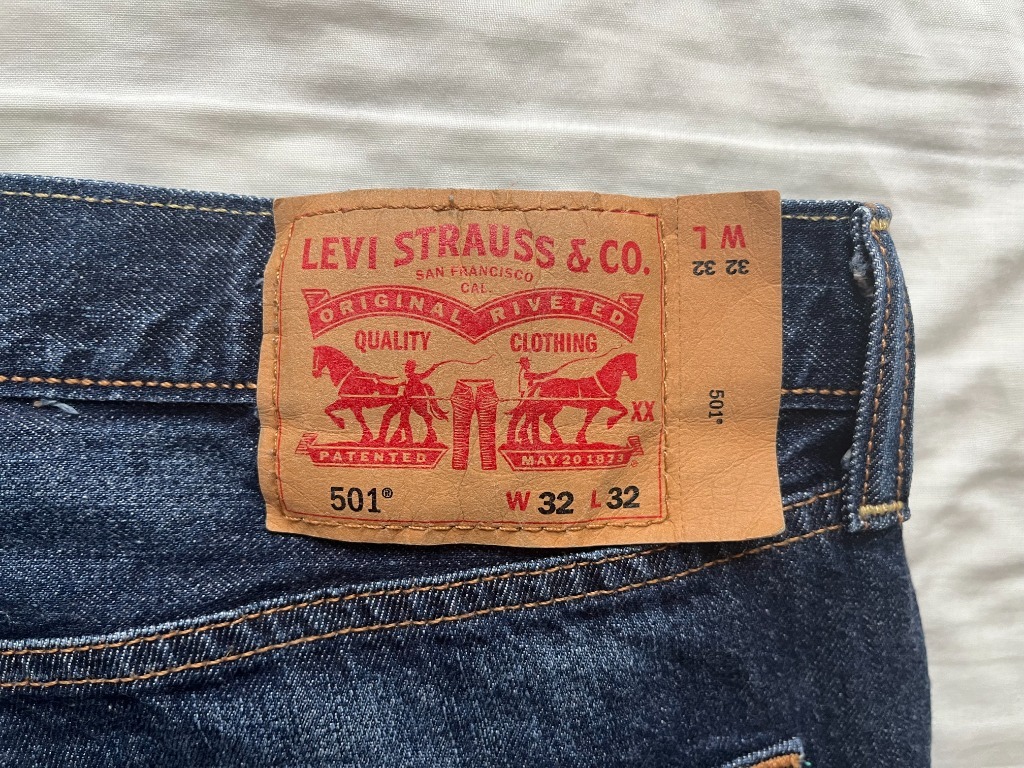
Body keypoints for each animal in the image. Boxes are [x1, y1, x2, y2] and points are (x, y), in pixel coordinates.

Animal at [505, 352, 638, 446]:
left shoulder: (603, 403)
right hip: (552, 405)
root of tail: (541, 384)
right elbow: (589, 420)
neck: (603, 381)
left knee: (539, 416)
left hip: (552, 406)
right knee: (535, 415)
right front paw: (608, 424)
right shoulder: (595, 406)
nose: (635, 377)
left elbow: (623, 410)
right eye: (632, 363)